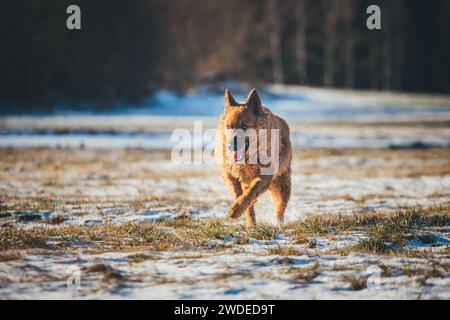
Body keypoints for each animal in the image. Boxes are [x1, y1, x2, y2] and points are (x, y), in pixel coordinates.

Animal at [215, 88, 292, 228]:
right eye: (228, 127)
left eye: (244, 126)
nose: (230, 146)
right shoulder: (228, 173)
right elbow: (237, 192)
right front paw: (239, 206)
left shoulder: (264, 176)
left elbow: (251, 191)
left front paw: (236, 208)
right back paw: (251, 224)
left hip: (282, 184)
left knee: (280, 209)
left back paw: (279, 224)